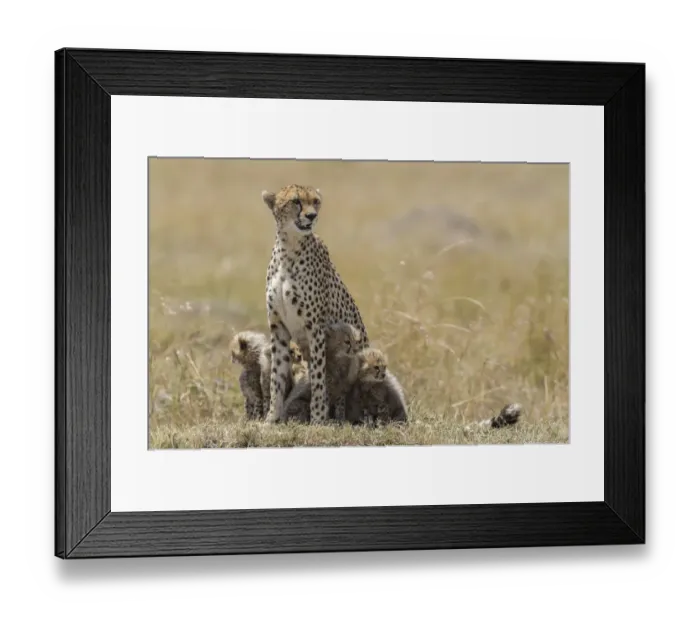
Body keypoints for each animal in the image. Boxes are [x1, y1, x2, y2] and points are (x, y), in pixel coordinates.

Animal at [261, 184, 369, 424]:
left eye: (316, 201)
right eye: (295, 202)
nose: (312, 216)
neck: (289, 249)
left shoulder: (316, 329)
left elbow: (320, 379)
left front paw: (318, 419)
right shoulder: (278, 327)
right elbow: (276, 377)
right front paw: (272, 418)